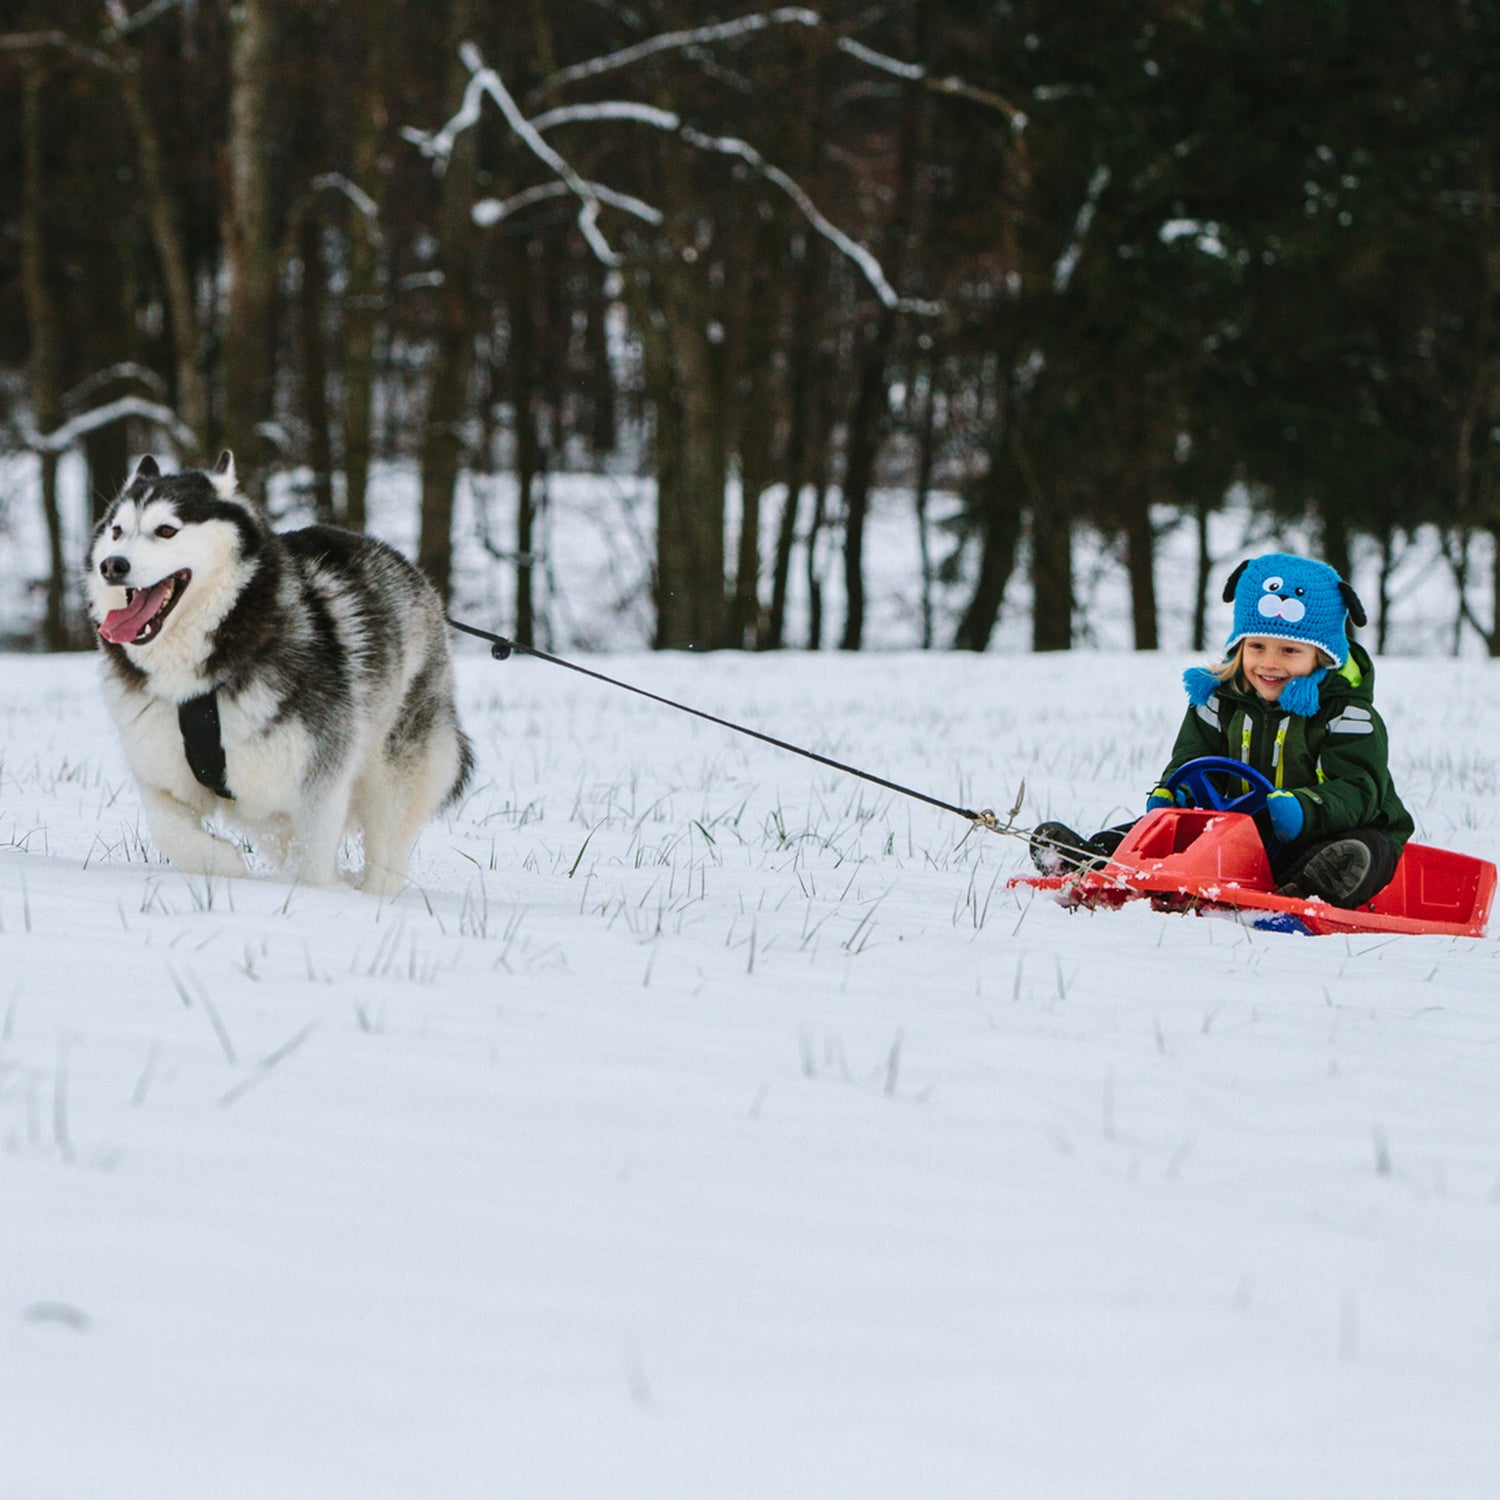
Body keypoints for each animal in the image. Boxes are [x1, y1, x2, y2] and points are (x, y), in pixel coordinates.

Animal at [85, 450, 471, 894]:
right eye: (117, 531)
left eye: (166, 530)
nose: (112, 565)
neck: (196, 683)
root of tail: (410, 571)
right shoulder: (162, 770)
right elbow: (169, 831)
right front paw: (223, 863)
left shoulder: (319, 782)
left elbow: (314, 863)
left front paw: (317, 894)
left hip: (393, 764)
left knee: (387, 845)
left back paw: (373, 894)